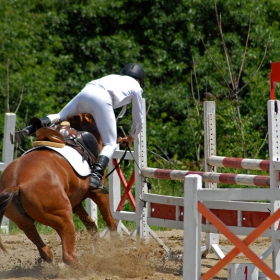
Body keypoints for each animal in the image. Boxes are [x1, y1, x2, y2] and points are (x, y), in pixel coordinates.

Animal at [0, 113, 117, 266]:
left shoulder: (75, 201)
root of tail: (15, 185)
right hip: (63, 218)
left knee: (44, 249)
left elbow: (91, 225)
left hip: (24, 222)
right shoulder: (97, 193)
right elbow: (110, 221)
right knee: (68, 255)